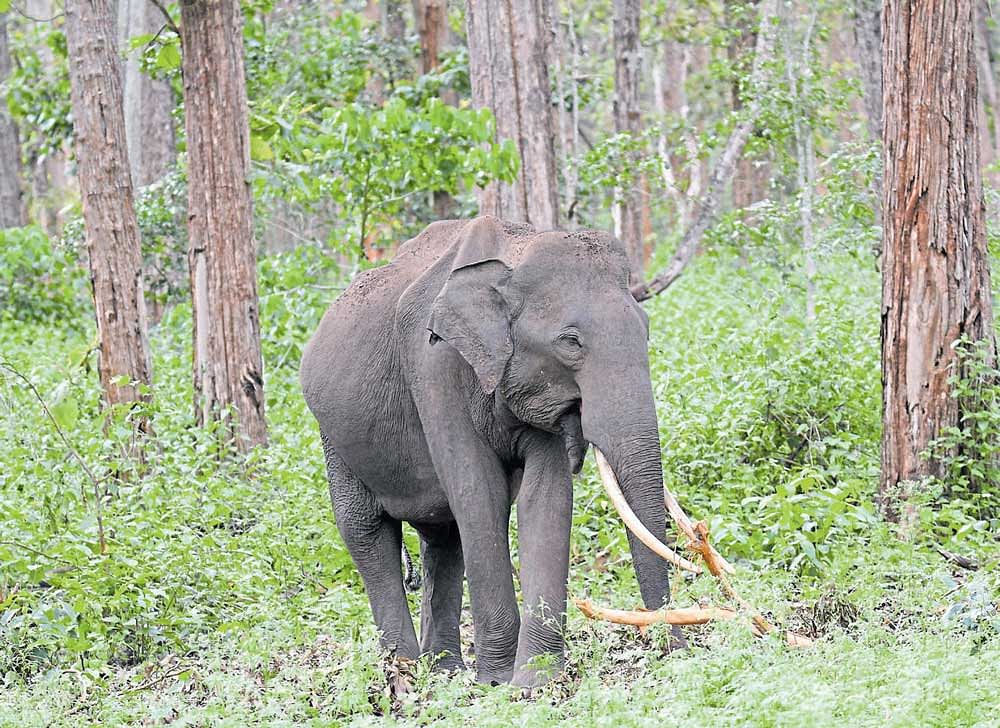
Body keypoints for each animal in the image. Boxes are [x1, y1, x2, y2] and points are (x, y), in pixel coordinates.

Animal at [300, 216, 684, 688]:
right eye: (570, 341)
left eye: (645, 328)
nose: (676, 652)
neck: (516, 249)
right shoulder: (434, 366)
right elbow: (479, 493)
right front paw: (500, 682)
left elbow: (546, 497)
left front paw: (538, 681)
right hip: (334, 435)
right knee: (365, 530)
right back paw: (404, 674)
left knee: (443, 537)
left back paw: (444, 672)